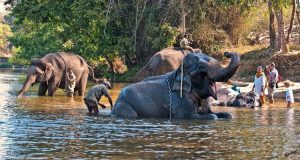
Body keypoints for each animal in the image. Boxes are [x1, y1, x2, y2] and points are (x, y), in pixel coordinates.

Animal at [111, 52, 240, 119]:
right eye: (201, 67)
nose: (227, 53)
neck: (179, 69)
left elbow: (223, 114)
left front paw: (225, 115)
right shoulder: (180, 100)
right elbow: (199, 116)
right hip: (124, 106)